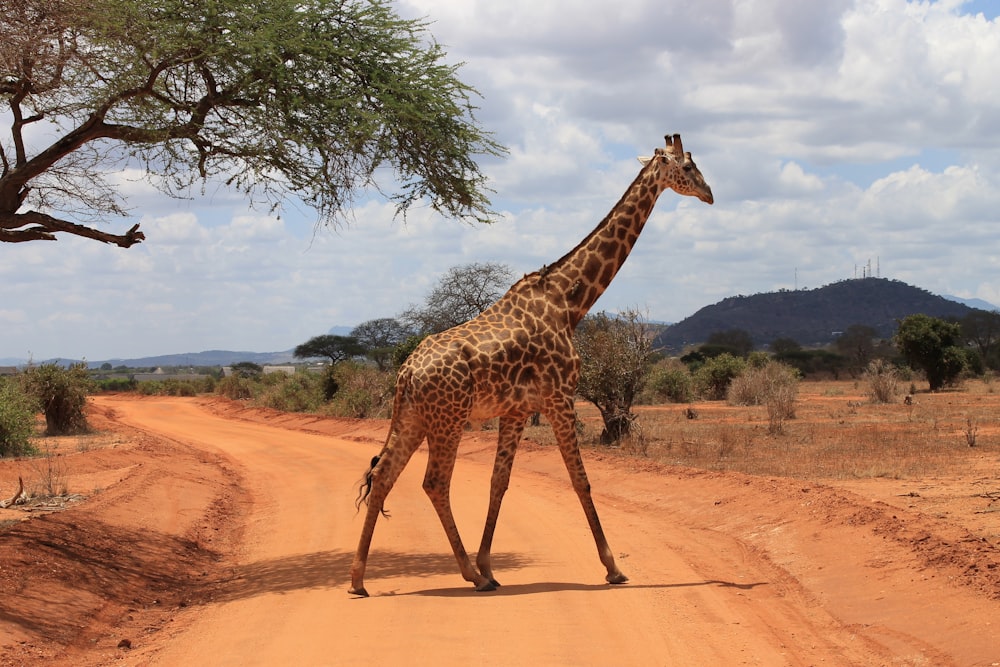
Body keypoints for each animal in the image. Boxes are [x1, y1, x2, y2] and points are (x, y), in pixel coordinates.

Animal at [350, 133, 712, 596]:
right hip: (448, 419)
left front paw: (489, 565)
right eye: (687, 167)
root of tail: (406, 372)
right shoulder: (560, 396)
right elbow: (580, 479)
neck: (570, 302)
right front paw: (612, 567)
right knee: (434, 482)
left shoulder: (517, 410)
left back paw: (359, 580)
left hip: (414, 417)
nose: (710, 194)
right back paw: (467, 576)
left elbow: (498, 483)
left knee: (383, 475)